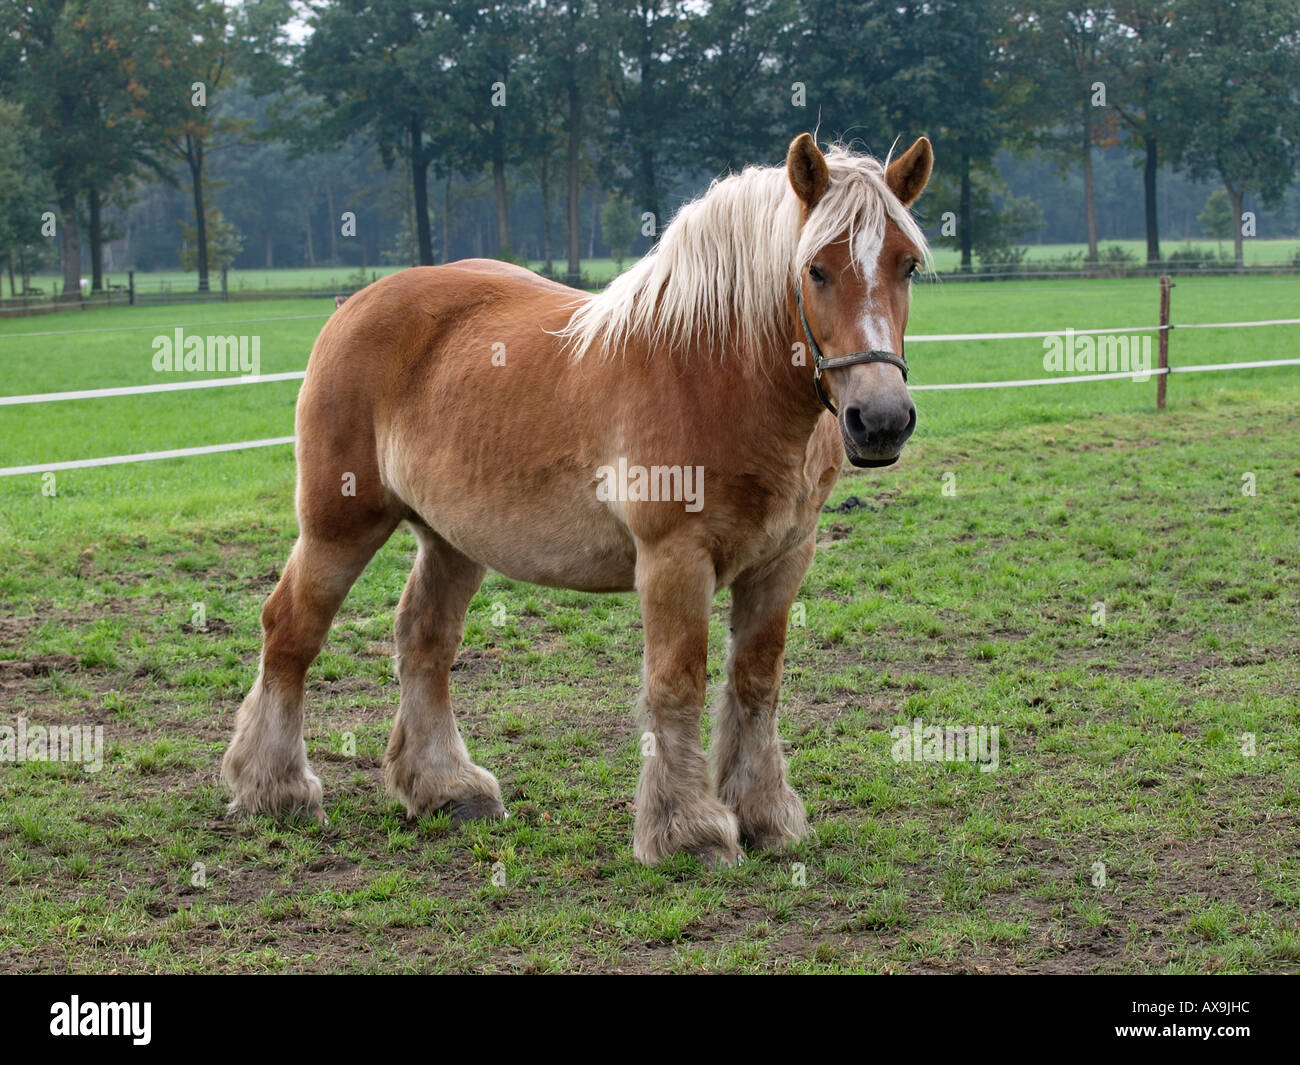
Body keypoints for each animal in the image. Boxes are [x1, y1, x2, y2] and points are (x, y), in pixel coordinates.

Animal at [226, 131, 935, 868]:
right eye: (817, 270)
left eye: (907, 265)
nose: (880, 420)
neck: (713, 373)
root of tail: (356, 305)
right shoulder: (674, 559)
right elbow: (677, 680)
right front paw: (689, 829)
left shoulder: (784, 559)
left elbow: (756, 681)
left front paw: (766, 815)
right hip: (340, 524)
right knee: (291, 628)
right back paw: (277, 789)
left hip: (452, 540)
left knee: (424, 639)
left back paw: (447, 789)